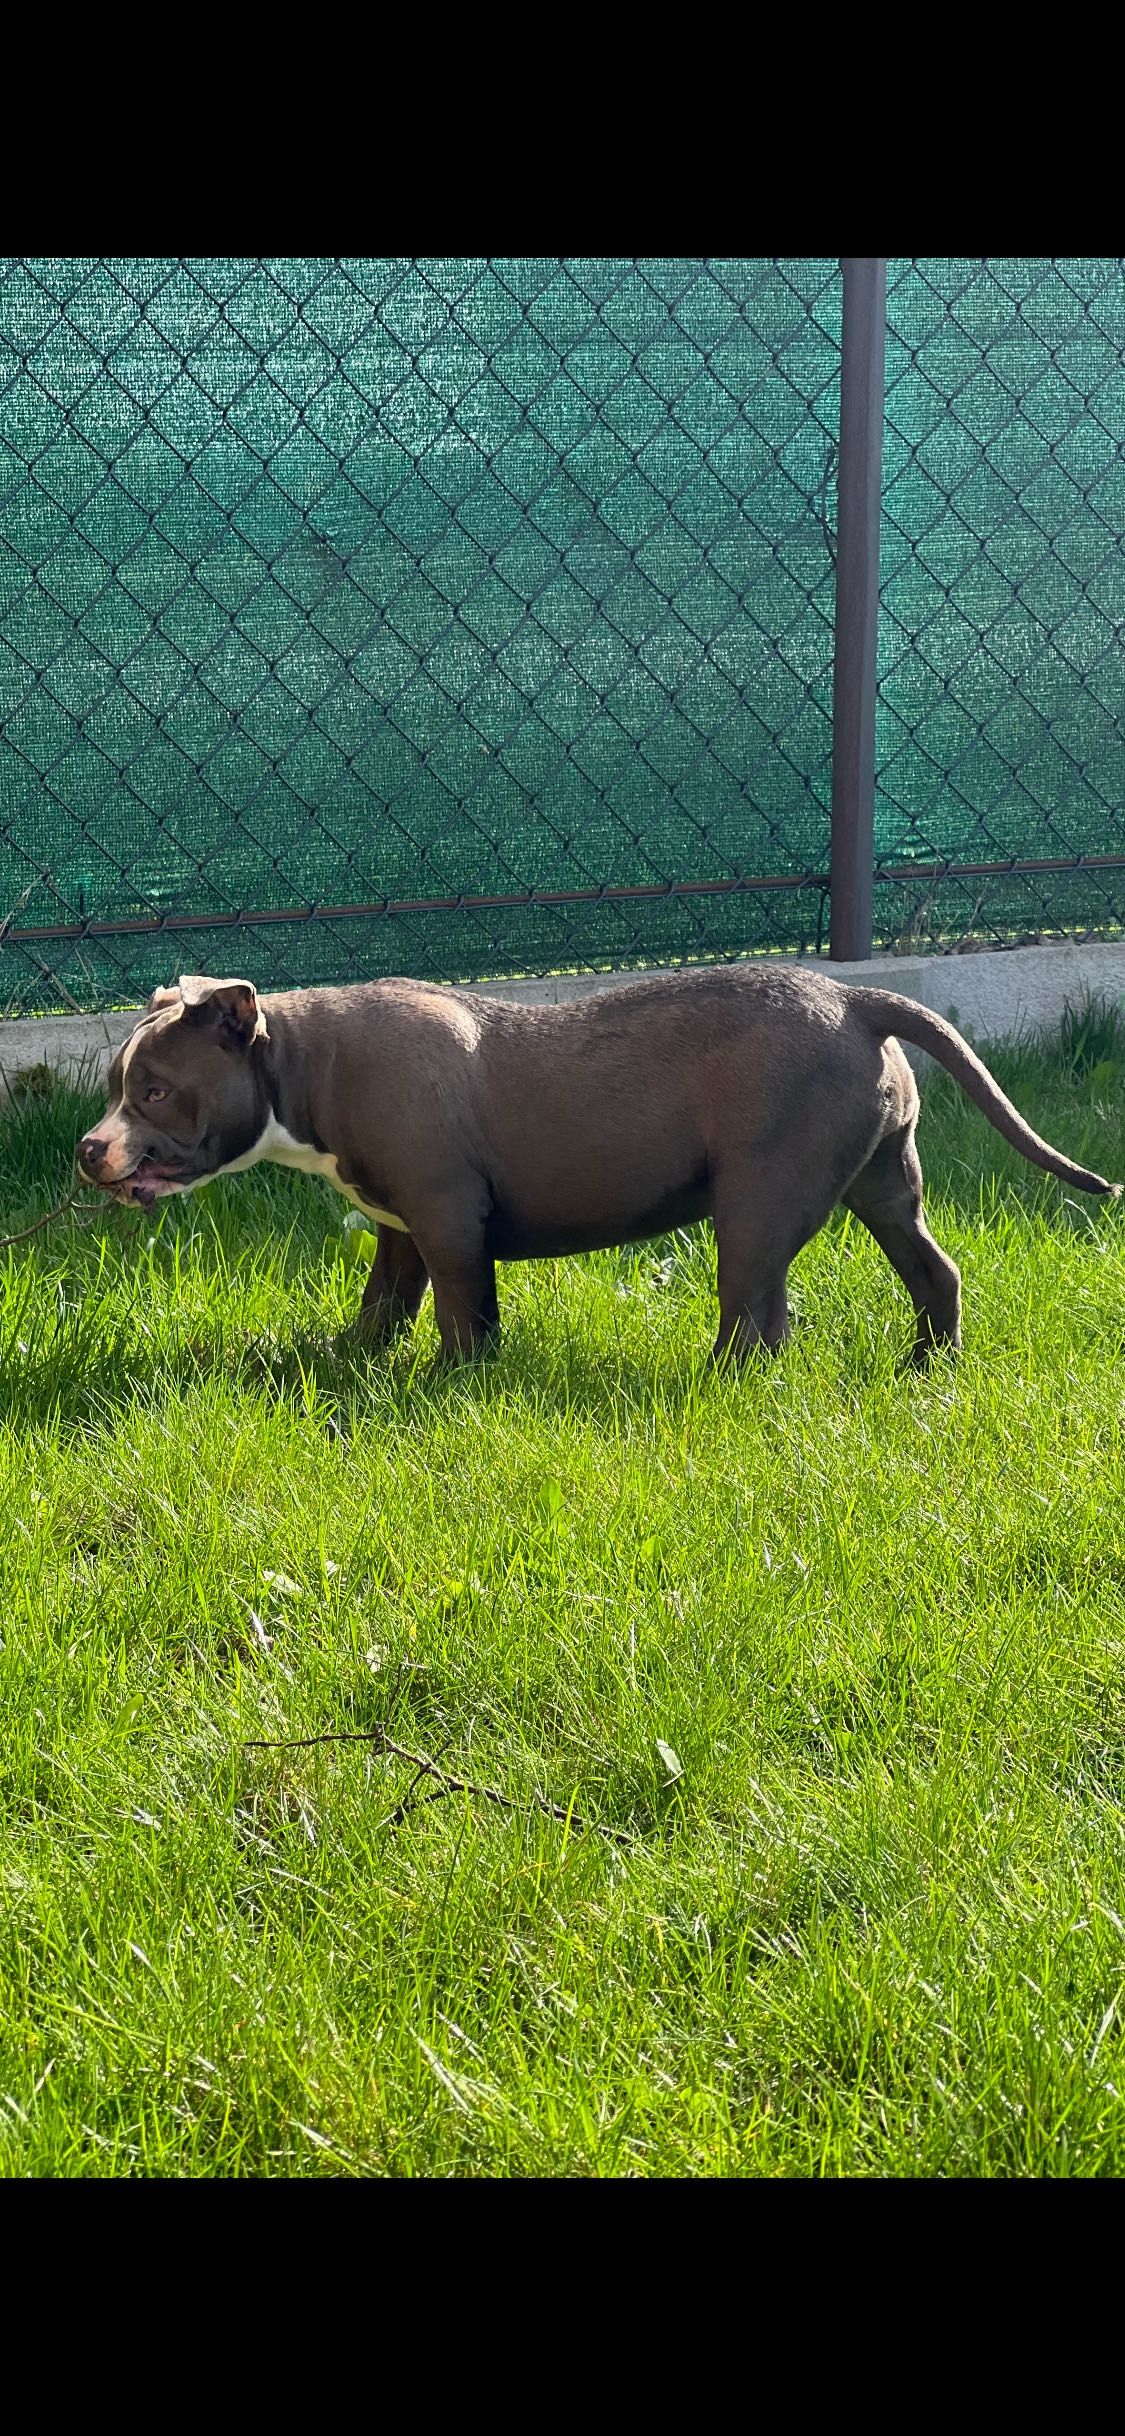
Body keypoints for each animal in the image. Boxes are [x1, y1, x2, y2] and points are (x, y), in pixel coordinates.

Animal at [77, 959, 1115, 1364]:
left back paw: (719, 1386)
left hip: (760, 1200)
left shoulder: (446, 1218)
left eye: (155, 1092)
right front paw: (351, 1358)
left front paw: (449, 1379)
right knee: (932, 1272)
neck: (299, 1064)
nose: (89, 1150)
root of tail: (858, 1002)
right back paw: (924, 1369)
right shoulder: (397, 1225)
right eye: (118, 1084)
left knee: (758, 1312)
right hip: (884, 1181)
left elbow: (462, 1310)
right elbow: (385, 1302)